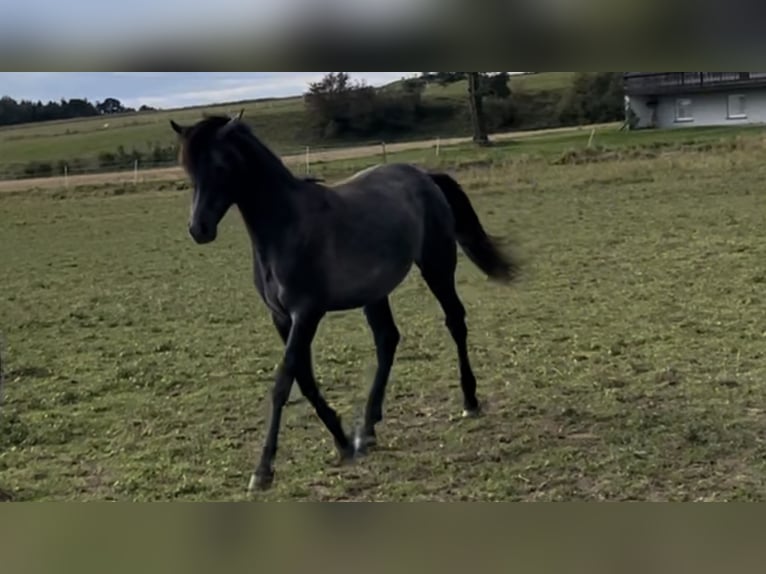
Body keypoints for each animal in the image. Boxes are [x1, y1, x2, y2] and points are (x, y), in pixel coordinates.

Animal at [170, 112, 519, 493]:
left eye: (220, 165)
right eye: (188, 167)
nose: (198, 229)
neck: (286, 227)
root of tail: (424, 176)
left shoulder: (307, 313)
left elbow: (283, 382)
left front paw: (262, 470)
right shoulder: (281, 318)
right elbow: (305, 380)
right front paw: (341, 440)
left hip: (437, 266)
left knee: (454, 320)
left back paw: (469, 401)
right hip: (376, 292)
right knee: (387, 340)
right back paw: (367, 429)